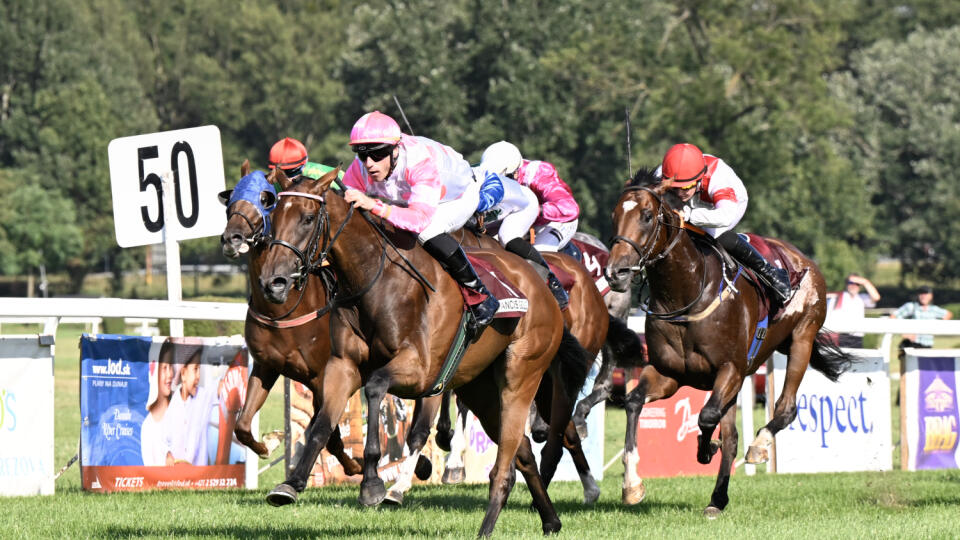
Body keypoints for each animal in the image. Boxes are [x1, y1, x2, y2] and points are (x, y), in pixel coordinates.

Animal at [258, 170, 588, 536]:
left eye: (307, 218)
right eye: (274, 216)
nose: (273, 282)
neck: (375, 280)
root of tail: (545, 288)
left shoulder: (420, 372)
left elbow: (376, 387)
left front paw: (373, 483)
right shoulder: (343, 365)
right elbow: (321, 425)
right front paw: (291, 483)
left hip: (521, 377)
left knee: (506, 464)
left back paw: (487, 528)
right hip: (482, 389)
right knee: (524, 452)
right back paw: (551, 520)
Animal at [604, 167, 852, 516]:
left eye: (647, 215)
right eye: (614, 215)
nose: (617, 272)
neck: (687, 294)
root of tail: (802, 258)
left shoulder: (730, 369)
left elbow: (707, 417)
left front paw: (706, 448)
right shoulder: (669, 373)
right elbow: (634, 402)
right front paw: (632, 484)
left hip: (802, 338)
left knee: (785, 408)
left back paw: (759, 446)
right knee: (733, 436)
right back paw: (717, 499)